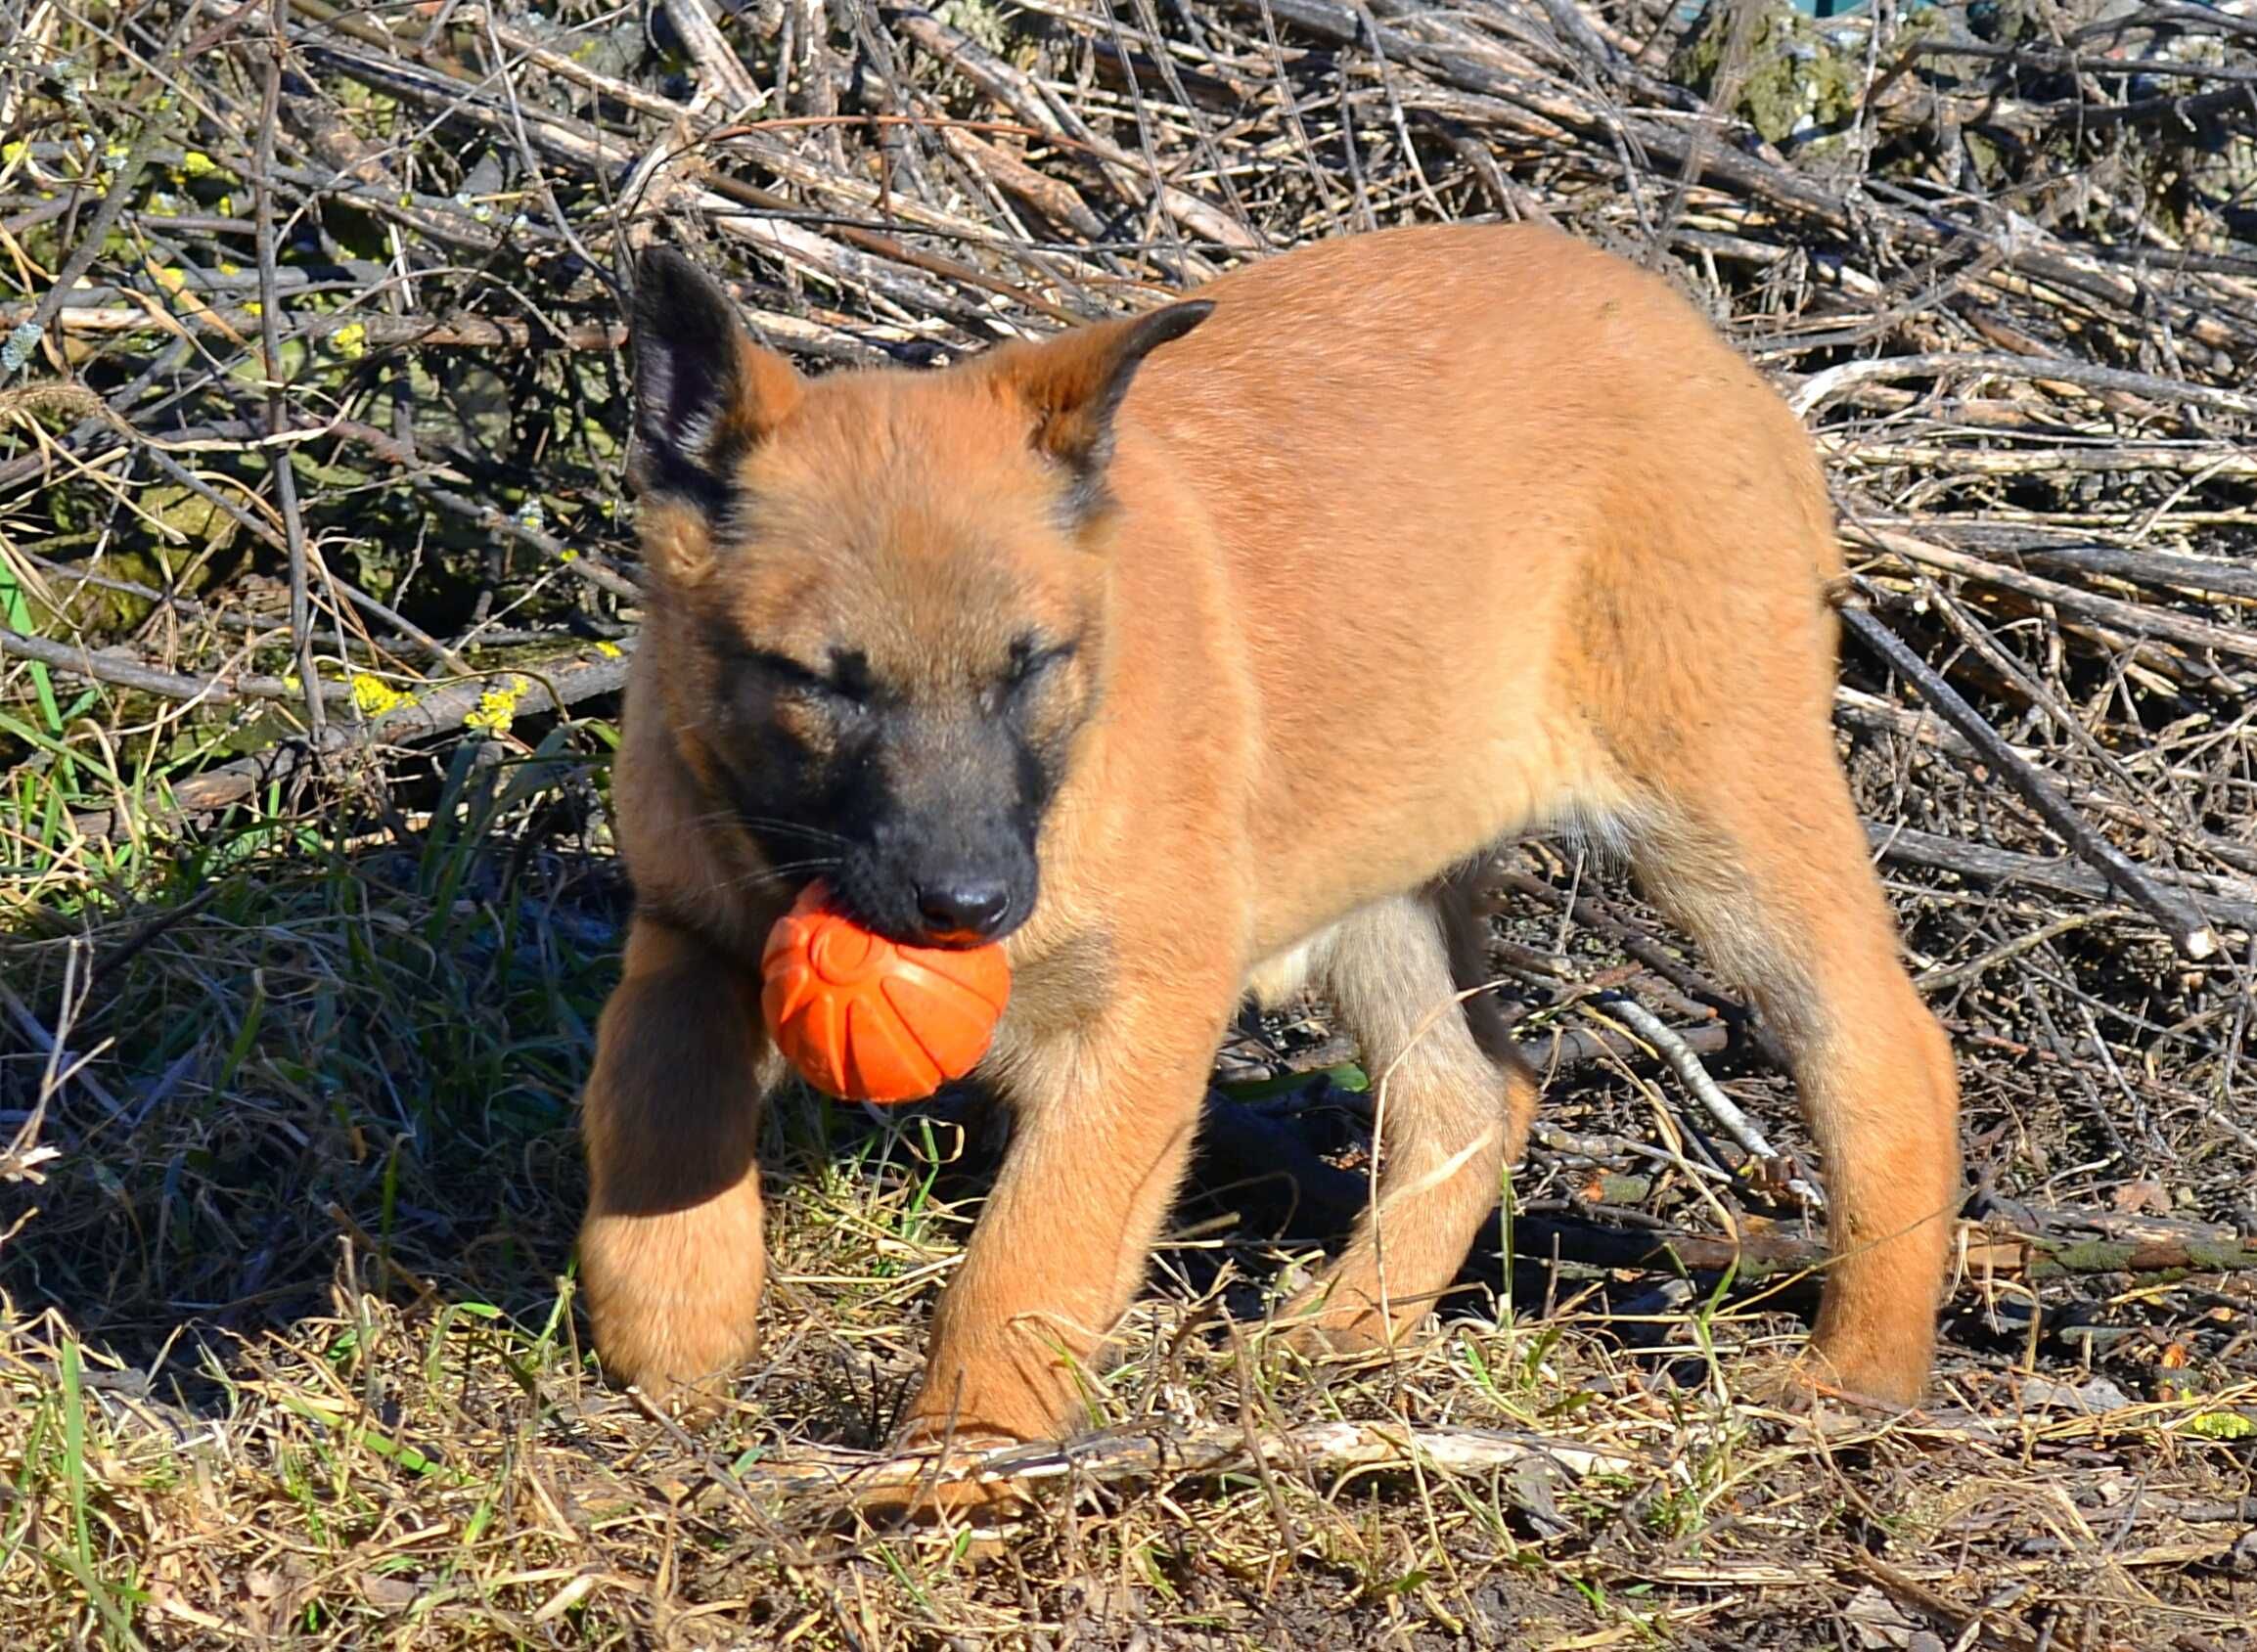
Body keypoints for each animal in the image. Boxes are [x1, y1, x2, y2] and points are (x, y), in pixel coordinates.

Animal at [577, 222, 1959, 1462]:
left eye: (1029, 668)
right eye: (824, 682)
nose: (970, 906)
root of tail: (1714, 352)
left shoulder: (1142, 1015)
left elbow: (1027, 1261)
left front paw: (959, 1460)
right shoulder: (689, 934)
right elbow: (656, 1114)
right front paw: (674, 1331)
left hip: (1718, 812)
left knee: (1884, 1048)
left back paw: (1859, 1373)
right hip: (1382, 879)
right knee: (1475, 1091)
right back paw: (1343, 1331)